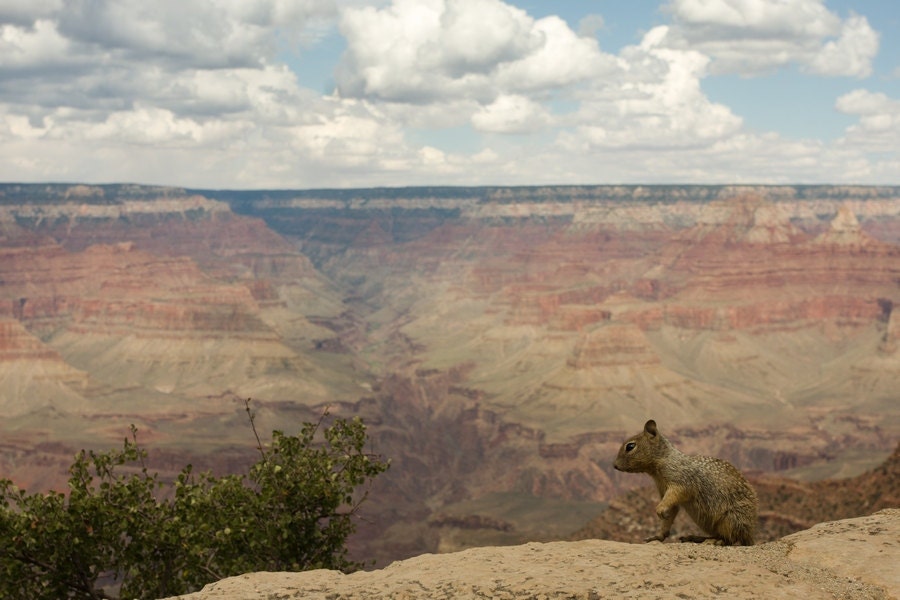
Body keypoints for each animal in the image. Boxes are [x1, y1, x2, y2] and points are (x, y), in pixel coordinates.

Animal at [613, 419, 758, 546]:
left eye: (630, 446)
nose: (614, 466)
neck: (664, 459)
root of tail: (750, 533)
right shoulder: (663, 489)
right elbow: (671, 511)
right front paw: (658, 535)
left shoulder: (680, 481)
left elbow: (677, 493)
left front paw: (659, 509)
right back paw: (695, 537)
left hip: (730, 519)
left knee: (731, 538)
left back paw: (715, 541)